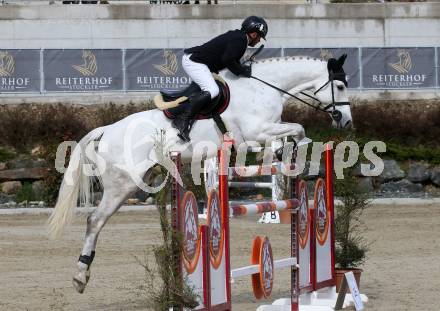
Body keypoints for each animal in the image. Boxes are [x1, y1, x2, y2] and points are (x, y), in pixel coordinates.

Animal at [47, 54, 350, 294]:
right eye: (340, 85)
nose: (346, 121)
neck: (263, 87)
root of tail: (107, 129)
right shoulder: (257, 131)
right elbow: (297, 128)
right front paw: (283, 151)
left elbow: (294, 132)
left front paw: (282, 153)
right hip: (122, 185)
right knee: (95, 221)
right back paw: (80, 276)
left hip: (135, 182)